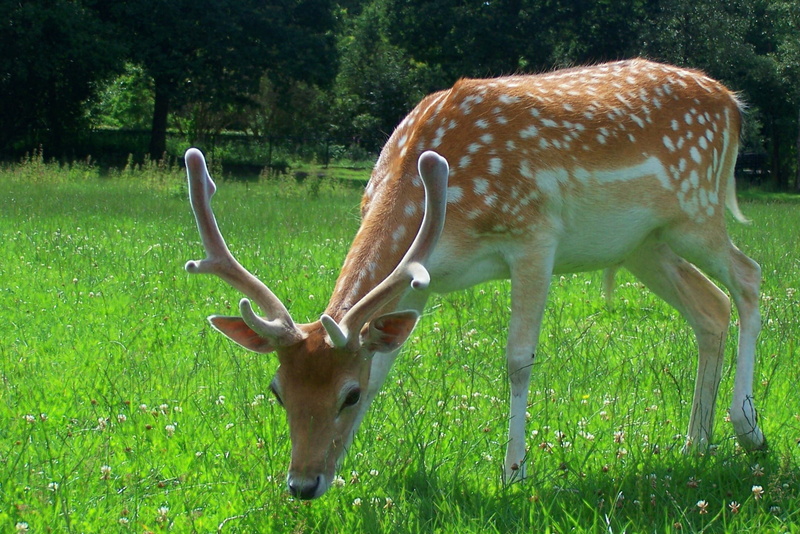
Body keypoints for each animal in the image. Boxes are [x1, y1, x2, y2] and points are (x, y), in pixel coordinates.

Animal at [184, 58, 766, 500]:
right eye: (278, 391)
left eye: (348, 395)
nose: (303, 485)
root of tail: (734, 104)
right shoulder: (419, 280)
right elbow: (386, 361)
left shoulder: (535, 236)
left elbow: (517, 360)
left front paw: (514, 474)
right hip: (643, 244)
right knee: (710, 307)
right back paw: (695, 445)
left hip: (697, 210)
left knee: (749, 276)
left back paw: (748, 429)